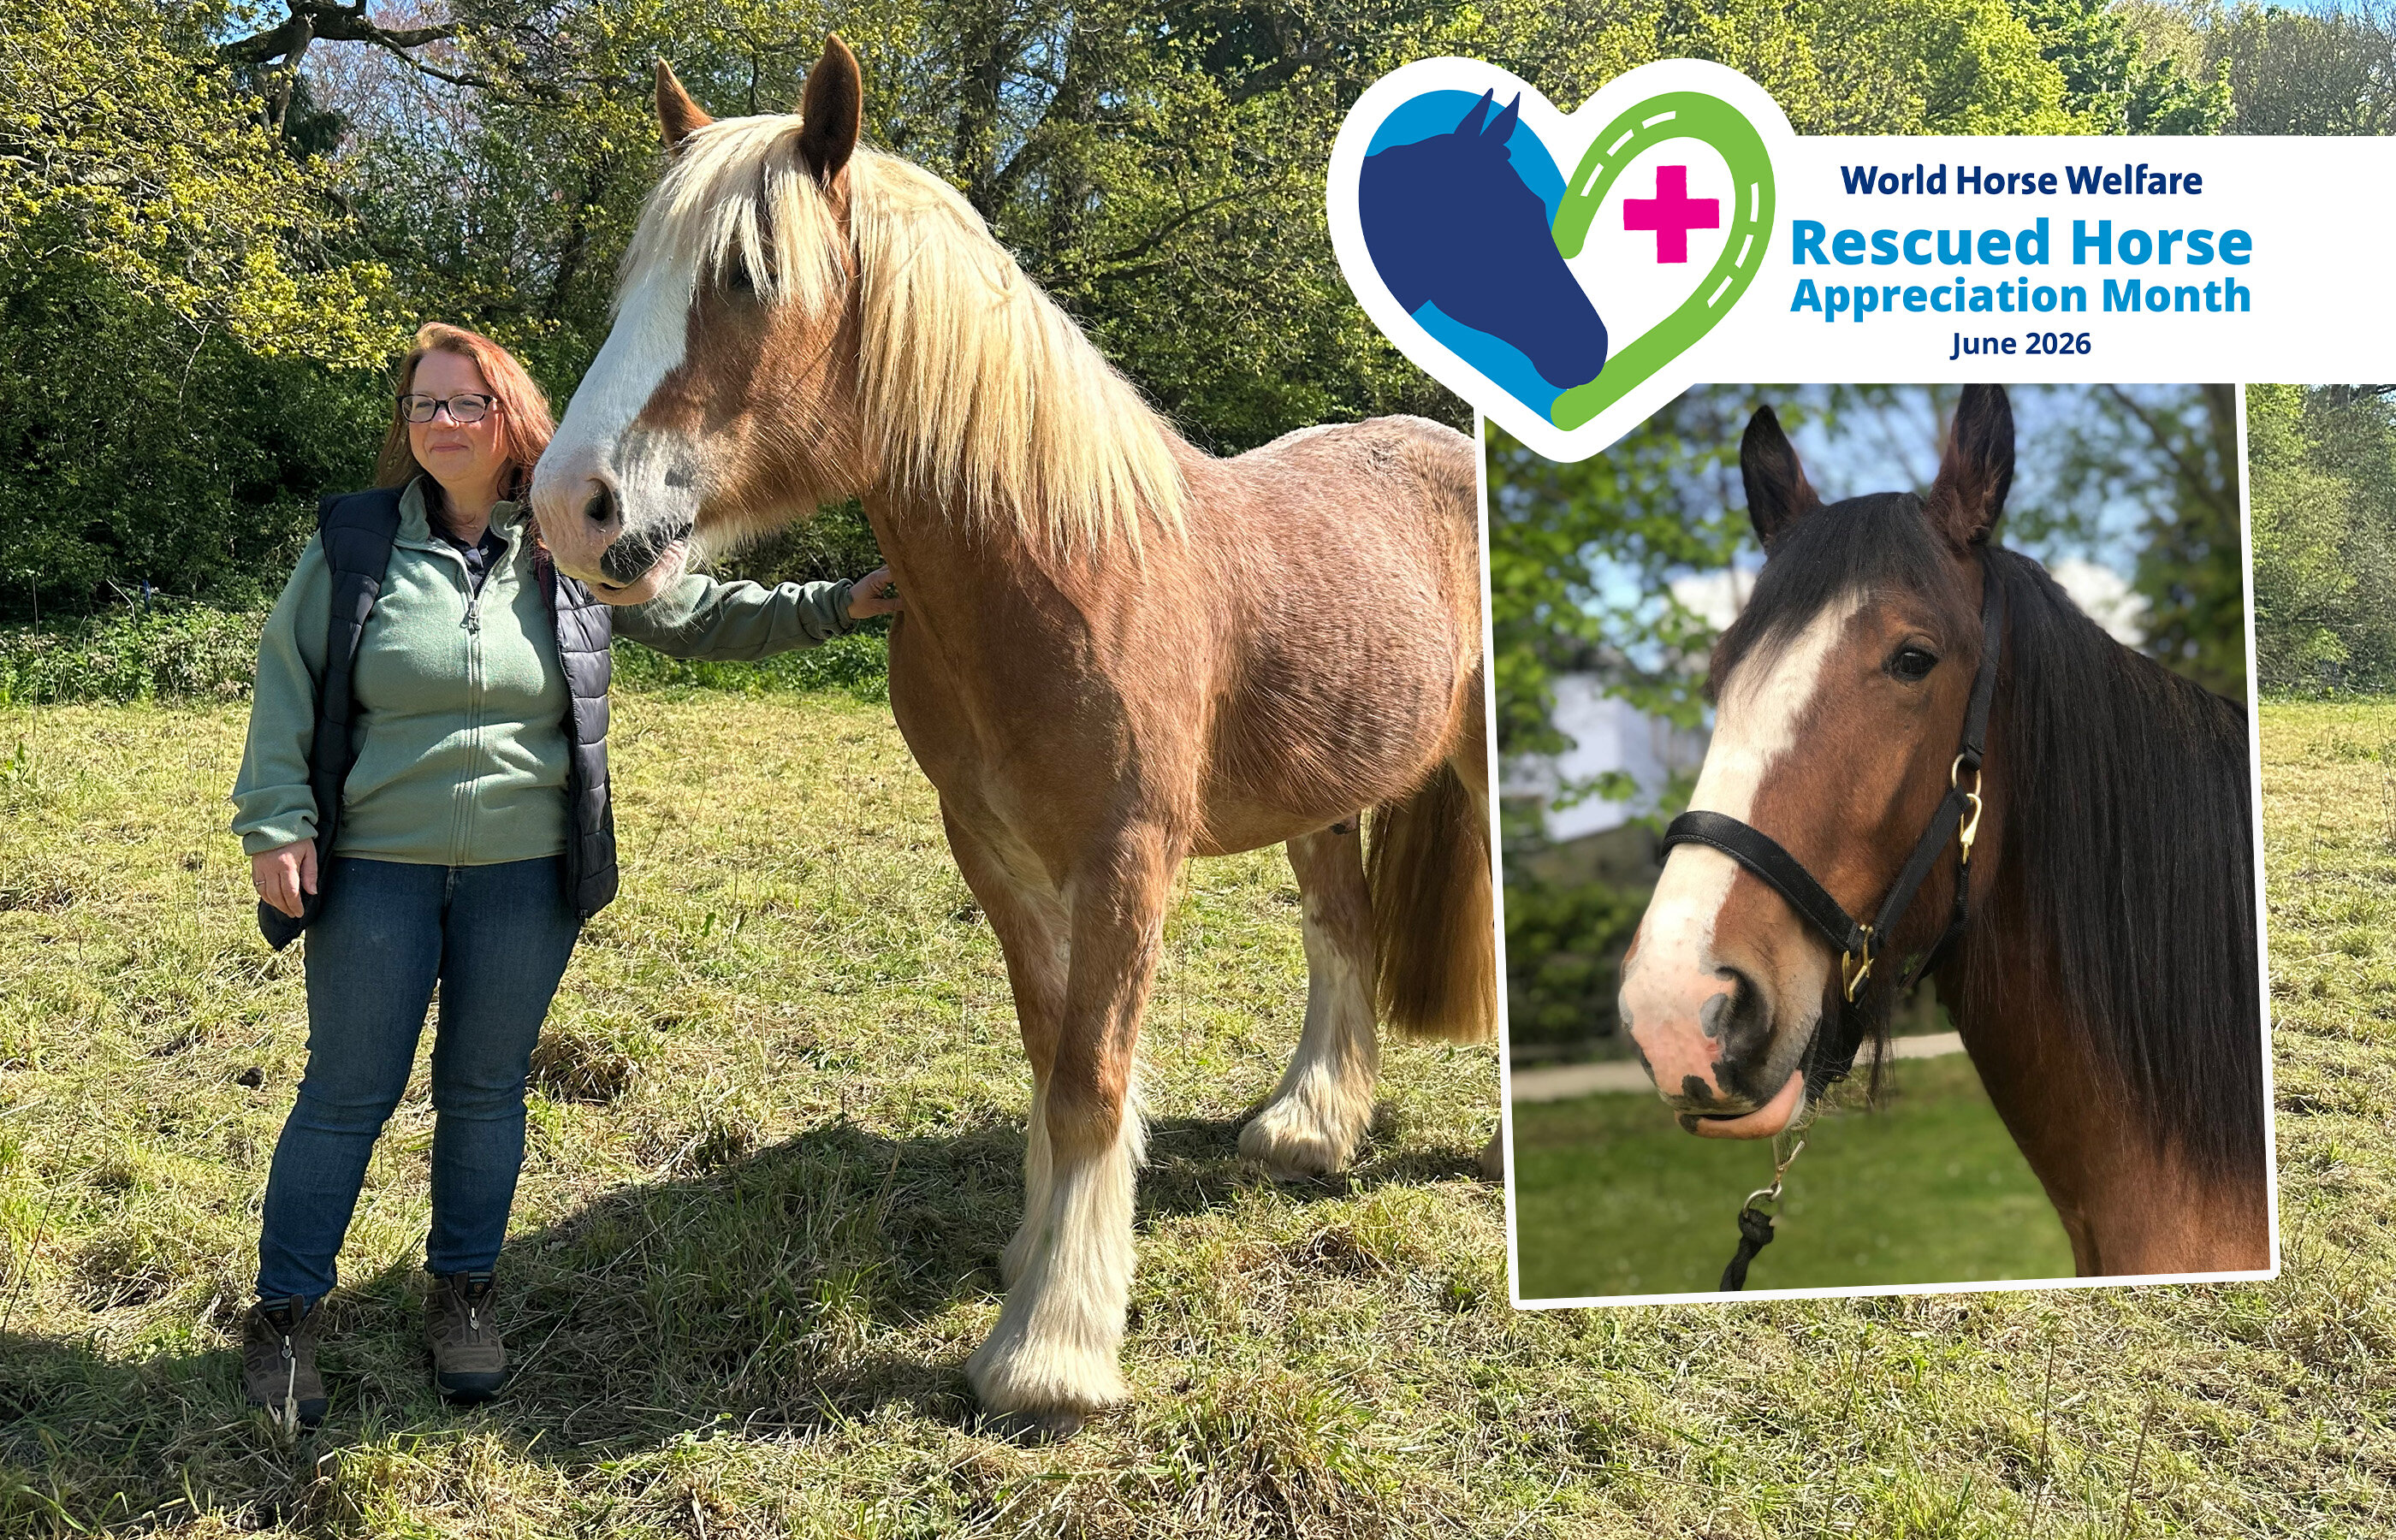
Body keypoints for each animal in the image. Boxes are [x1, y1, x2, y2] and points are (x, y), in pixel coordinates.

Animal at [528, 38, 1497, 1435]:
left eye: (748, 278)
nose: (568, 503)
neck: (1060, 570)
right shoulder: (995, 851)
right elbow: (1048, 1058)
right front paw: (1036, 1259)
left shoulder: (1126, 859)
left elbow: (1093, 1078)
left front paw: (1052, 1354)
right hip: (1322, 799)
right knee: (1342, 935)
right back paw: (1308, 1129)